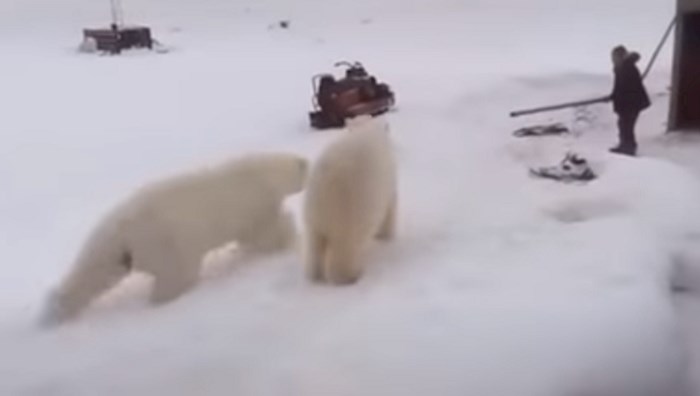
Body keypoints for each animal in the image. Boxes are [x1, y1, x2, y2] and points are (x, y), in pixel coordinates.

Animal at [302, 114, 396, 284]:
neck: (365, 130)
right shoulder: (388, 179)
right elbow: (390, 209)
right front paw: (386, 237)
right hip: (351, 207)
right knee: (346, 248)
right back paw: (352, 276)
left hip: (311, 213)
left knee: (314, 244)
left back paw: (315, 276)